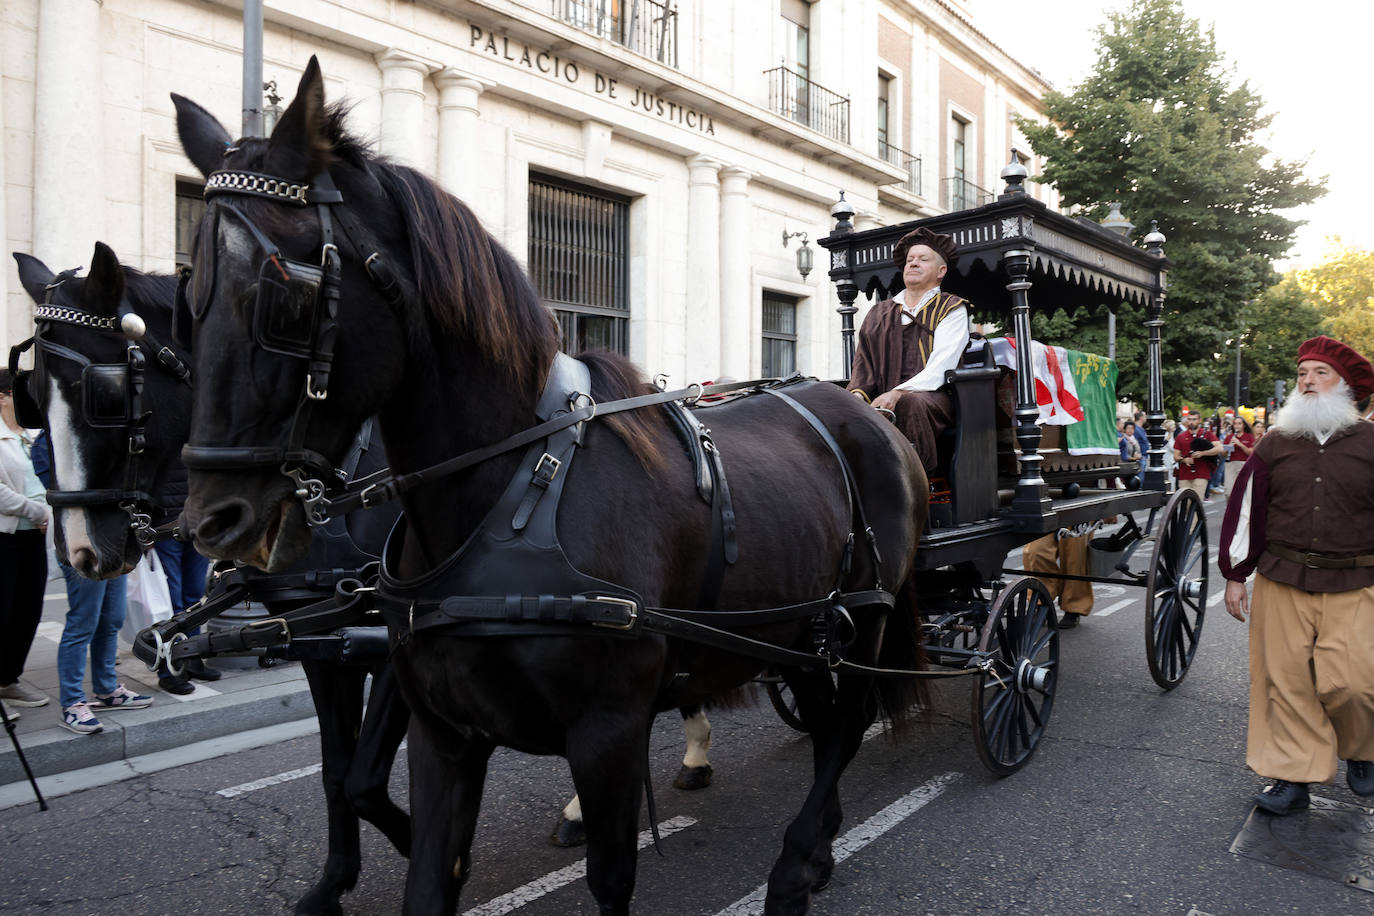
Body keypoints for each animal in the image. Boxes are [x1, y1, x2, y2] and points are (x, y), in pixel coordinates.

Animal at [169, 60, 923, 911]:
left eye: (285, 297)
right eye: (185, 299)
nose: (212, 521)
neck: (504, 499)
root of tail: (864, 409)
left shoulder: (607, 731)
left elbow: (609, 874)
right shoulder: (441, 729)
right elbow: (413, 858)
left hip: (861, 623)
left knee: (845, 725)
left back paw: (796, 862)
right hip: (800, 631)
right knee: (827, 721)